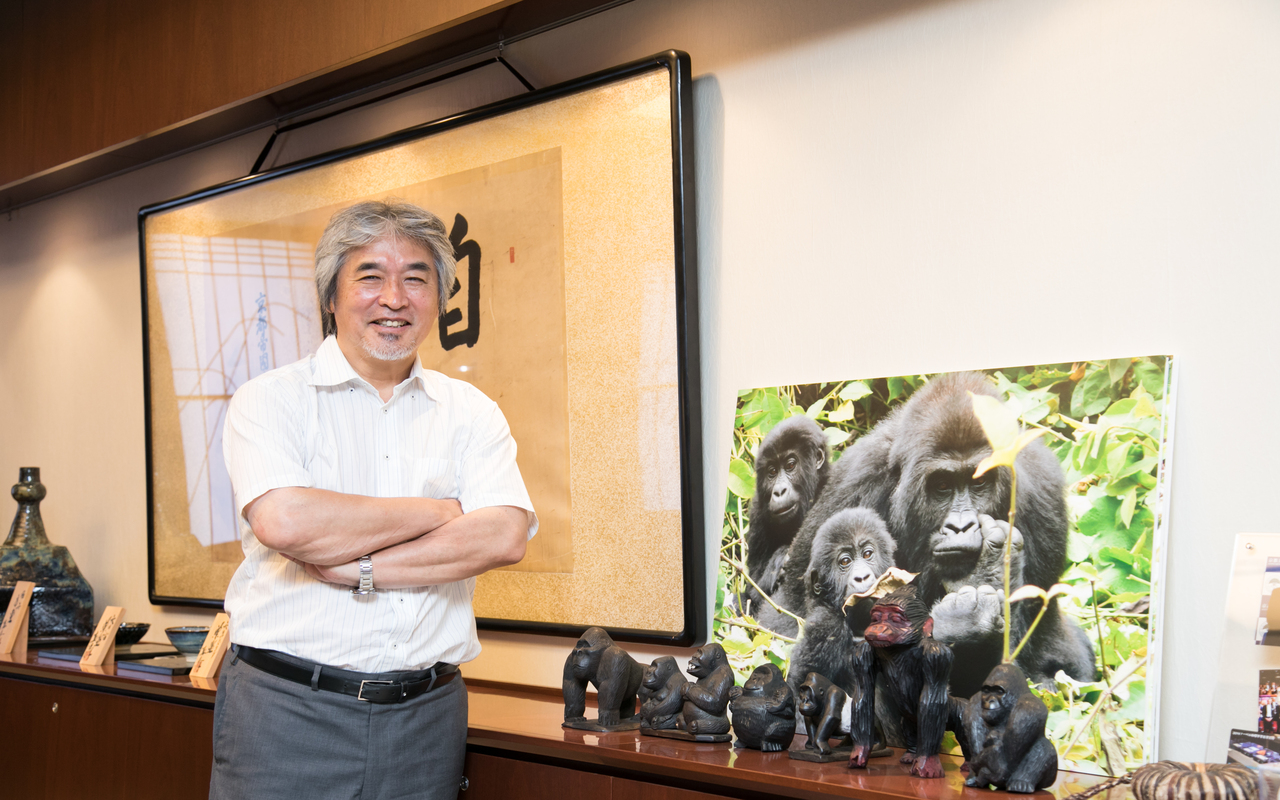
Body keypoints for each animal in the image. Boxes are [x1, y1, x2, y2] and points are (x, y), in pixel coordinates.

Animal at [742, 414, 829, 609]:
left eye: (790, 465)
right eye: (772, 471)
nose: (779, 491)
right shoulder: (758, 510)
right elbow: (751, 591)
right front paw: (776, 566)